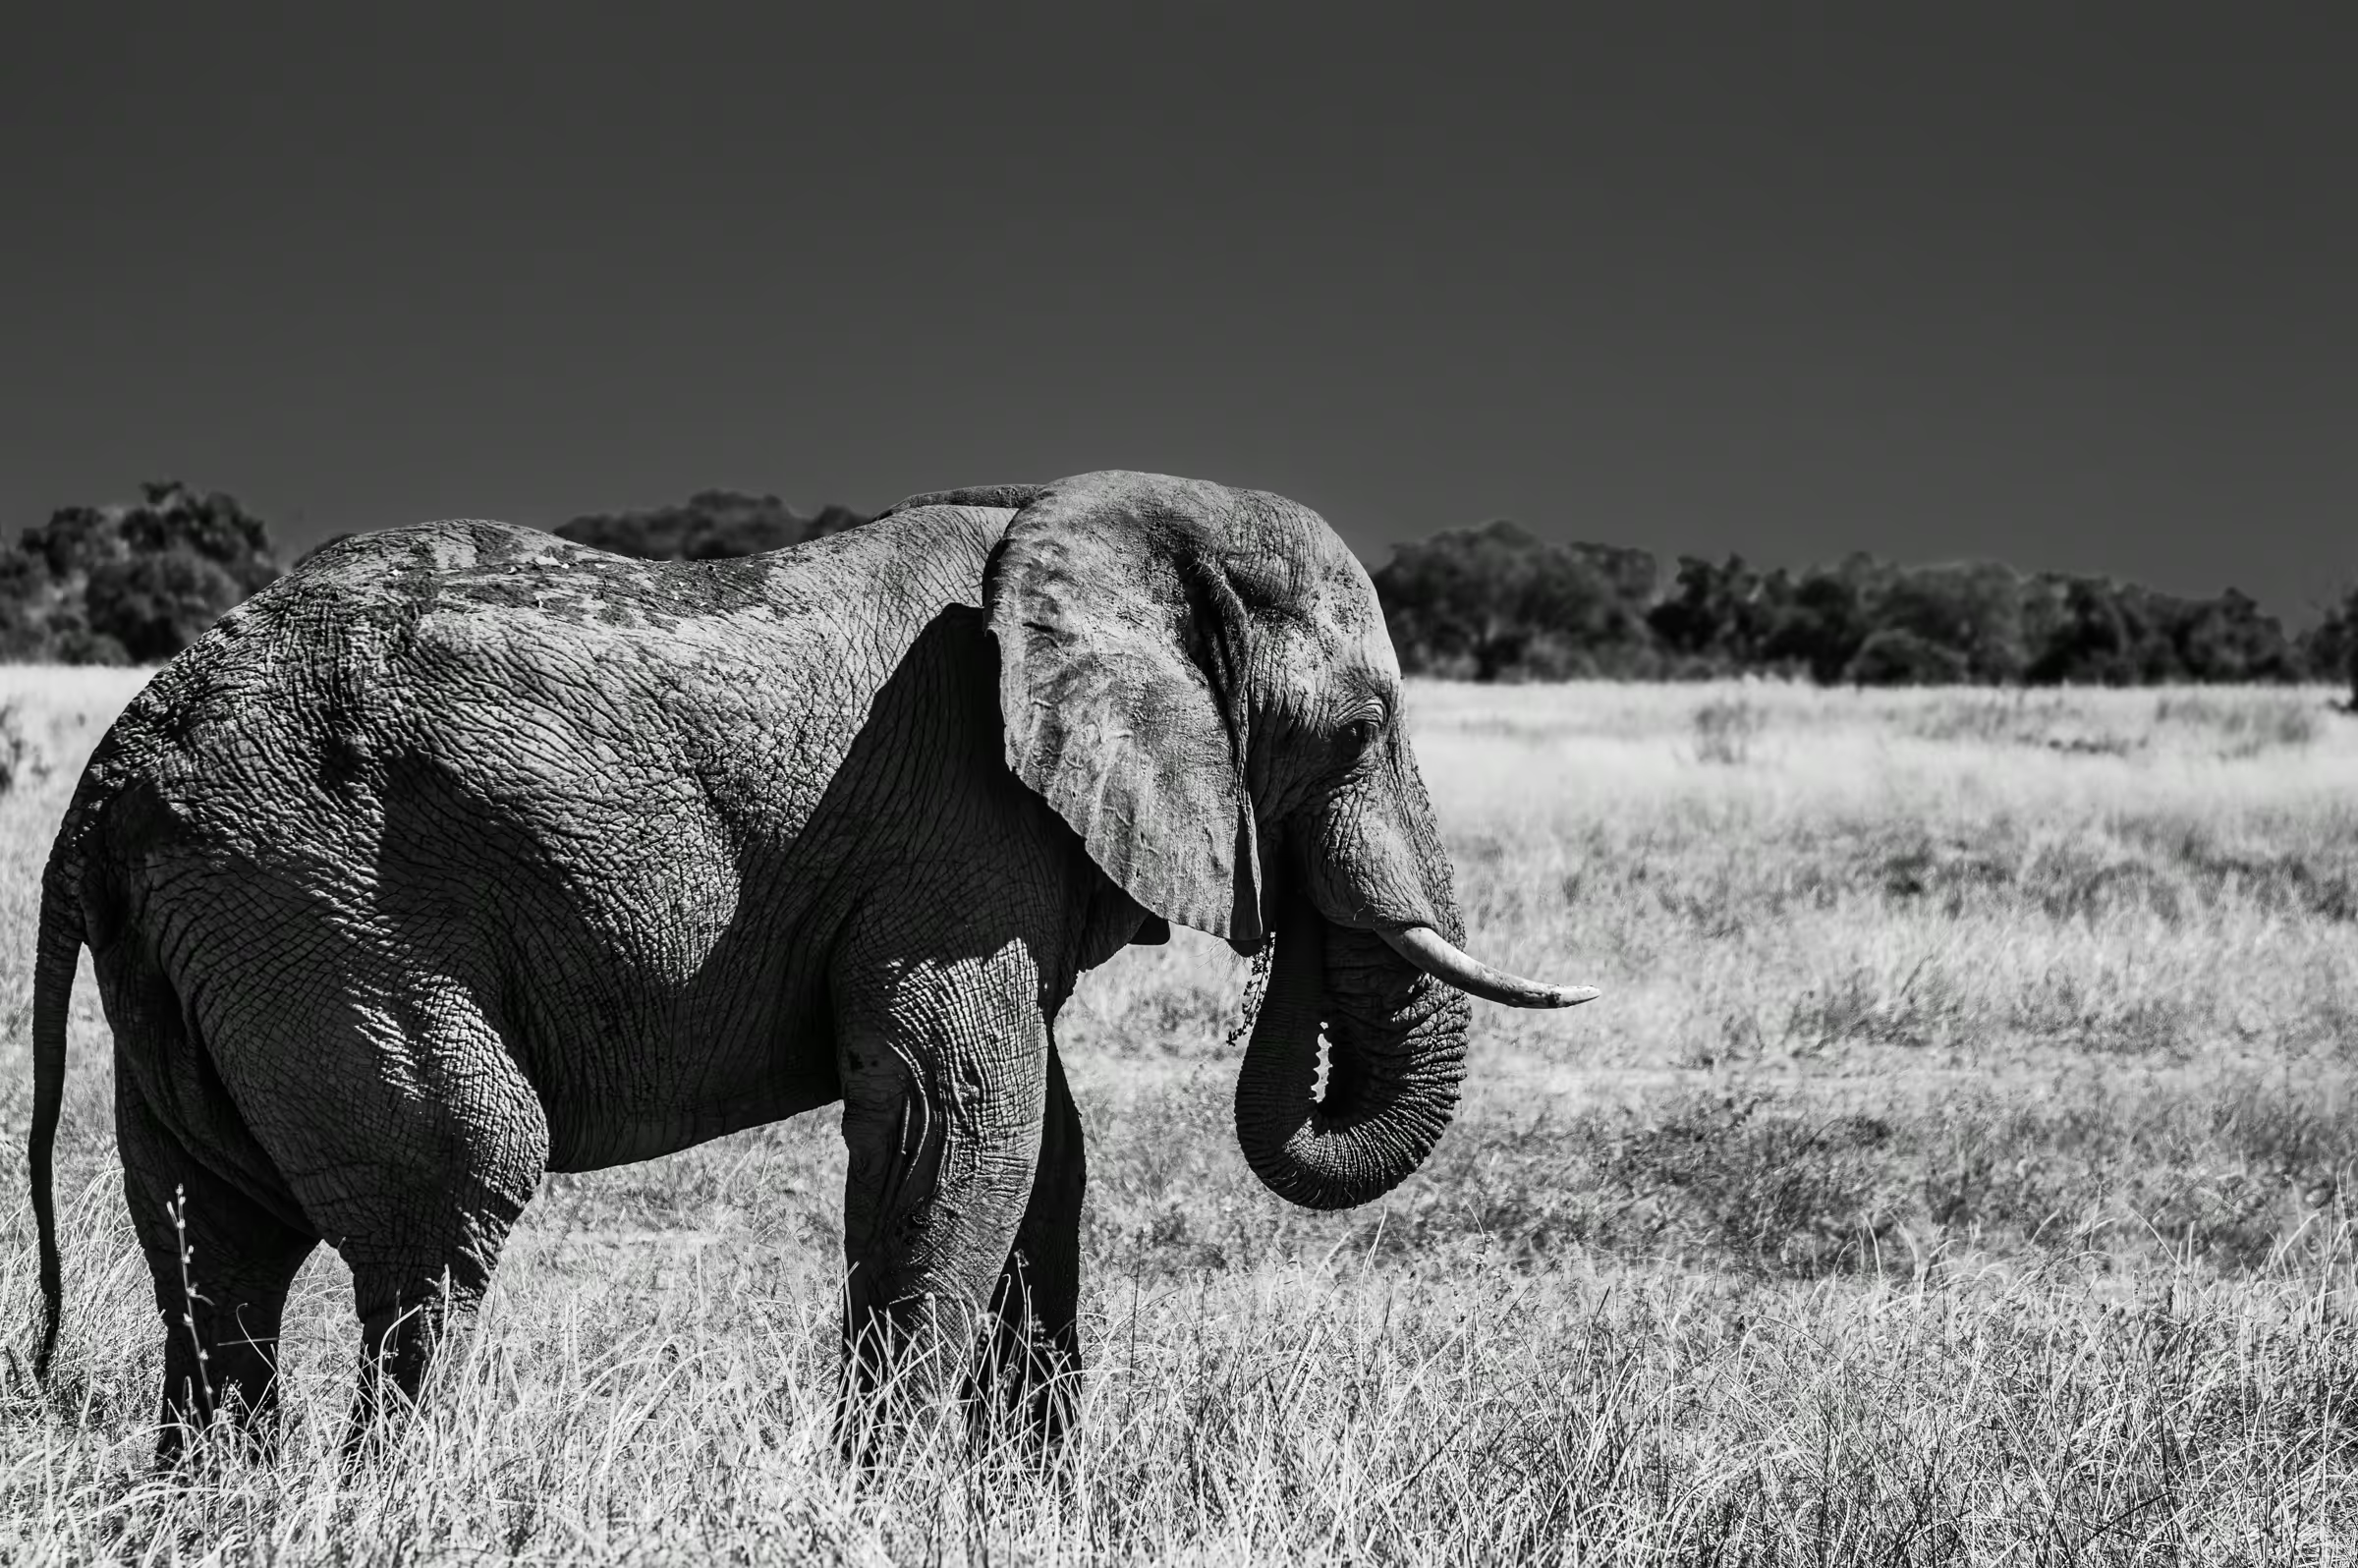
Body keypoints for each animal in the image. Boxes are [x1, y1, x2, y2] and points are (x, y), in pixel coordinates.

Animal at [25, 469, 1594, 1462]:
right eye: (1359, 730)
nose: (1286, 939)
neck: (1093, 515)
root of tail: (105, 779)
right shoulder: (957, 824)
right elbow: (961, 1116)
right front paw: (881, 1499)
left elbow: (1045, 1149)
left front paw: (1021, 1505)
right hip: (314, 901)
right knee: (452, 1188)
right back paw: (397, 1504)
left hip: (214, 938)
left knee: (218, 1240)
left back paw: (223, 1506)